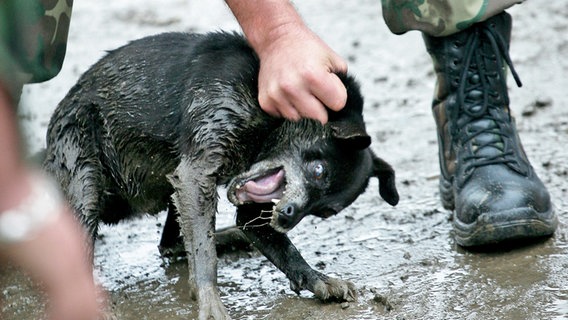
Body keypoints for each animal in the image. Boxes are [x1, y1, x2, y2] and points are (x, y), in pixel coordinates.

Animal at [43, 30, 400, 320]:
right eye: (318, 170)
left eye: (325, 212)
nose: (286, 218)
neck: (265, 113)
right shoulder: (196, 174)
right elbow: (205, 256)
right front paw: (210, 301)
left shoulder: (247, 206)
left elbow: (283, 249)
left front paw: (319, 279)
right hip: (84, 179)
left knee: (171, 243)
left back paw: (230, 236)